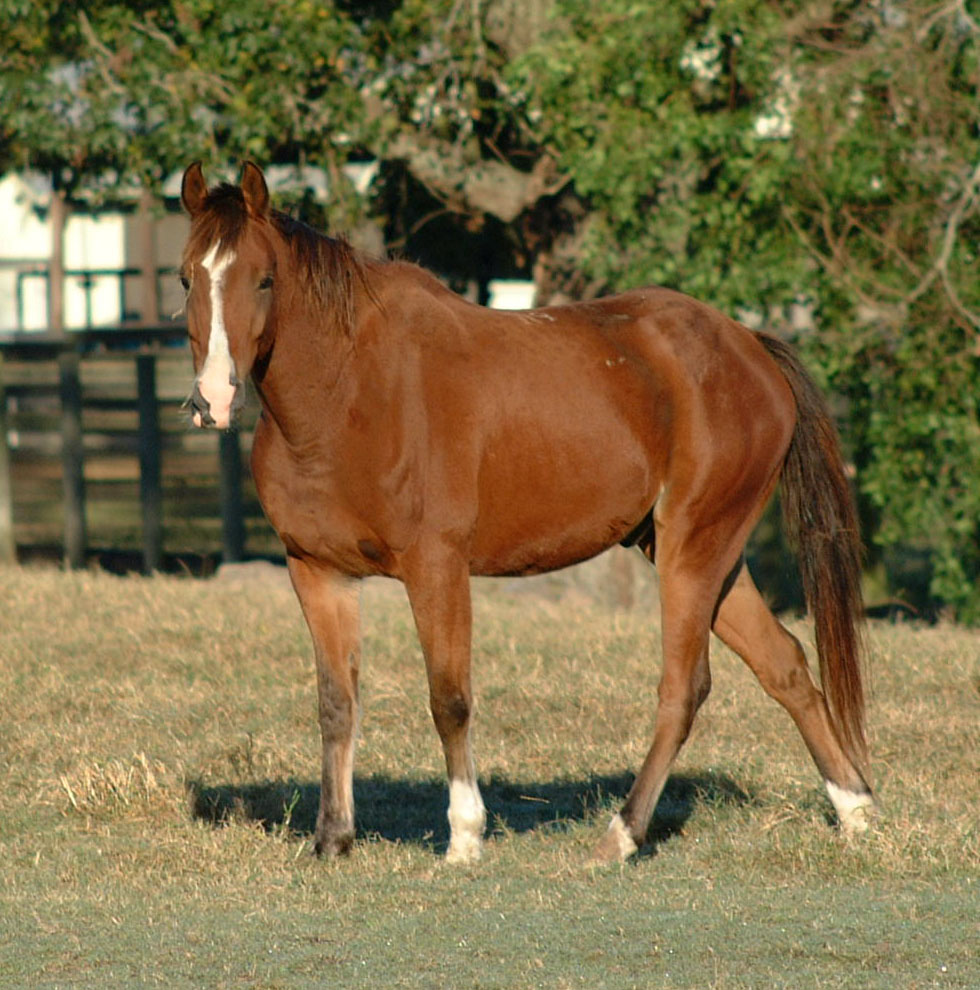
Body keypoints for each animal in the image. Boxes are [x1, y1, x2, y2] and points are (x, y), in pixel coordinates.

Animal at [179, 161, 873, 863]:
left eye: (264, 279)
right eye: (186, 278)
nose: (214, 399)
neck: (348, 395)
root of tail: (749, 348)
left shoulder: (436, 568)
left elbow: (449, 699)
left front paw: (464, 838)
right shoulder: (318, 571)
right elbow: (335, 703)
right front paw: (333, 838)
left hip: (692, 549)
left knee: (684, 689)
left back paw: (622, 834)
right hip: (707, 555)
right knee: (785, 665)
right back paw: (857, 813)